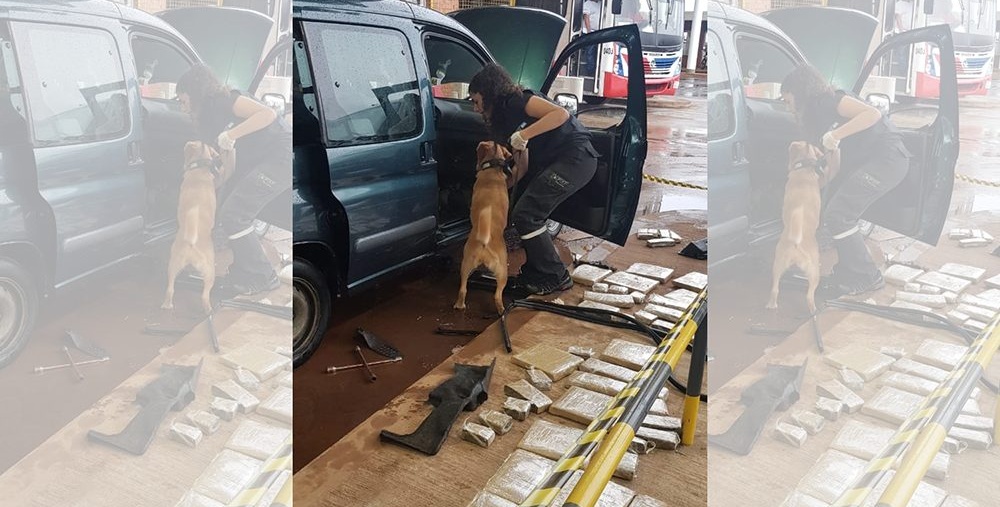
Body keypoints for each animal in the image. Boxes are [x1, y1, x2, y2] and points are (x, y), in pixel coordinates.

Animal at [162, 141, 232, 313]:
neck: (200, 168)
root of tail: (191, 245)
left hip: (173, 265)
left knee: (170, 289)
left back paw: (167, 305)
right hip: (210, 272)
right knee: (204, 296)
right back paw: (209, 311)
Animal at [454, 141, 515, 315]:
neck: (493, 170)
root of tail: (485, 243)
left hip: (467, 264)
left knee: (463, 289)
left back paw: (459, 305)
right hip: (501, 272)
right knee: (497, 296)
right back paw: (502, 311)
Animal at [766, 141, 839, 314]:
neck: (804, 169)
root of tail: (796, 244)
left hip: (778, 265)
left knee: (775, 289)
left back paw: (772, 305)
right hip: (813, 272)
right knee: (809, 296)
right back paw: (813, 311)